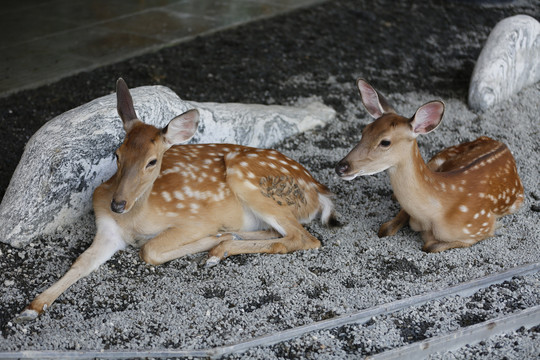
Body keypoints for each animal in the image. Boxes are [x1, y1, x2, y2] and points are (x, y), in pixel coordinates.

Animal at [16, 78, 336, 320]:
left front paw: (211, 239)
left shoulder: (195, 219)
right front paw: (32, 307)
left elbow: (149, 250)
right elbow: (81, 261)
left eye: (152, 161)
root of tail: (318, 190)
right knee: (280, 232)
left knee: (304, 238)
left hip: (245, 178)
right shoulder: (108, 230)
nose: (117, 204)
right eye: (117, 154)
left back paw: (218, 248)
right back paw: (225, 242)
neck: (135, 219)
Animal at [336, 79, 524, 253]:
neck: (434, 213)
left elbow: (430, 246)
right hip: (439, 157)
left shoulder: (481, 226)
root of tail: (502, 144)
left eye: (385, 142)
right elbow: (386, 229)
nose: (341, 167)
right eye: (364, 130)